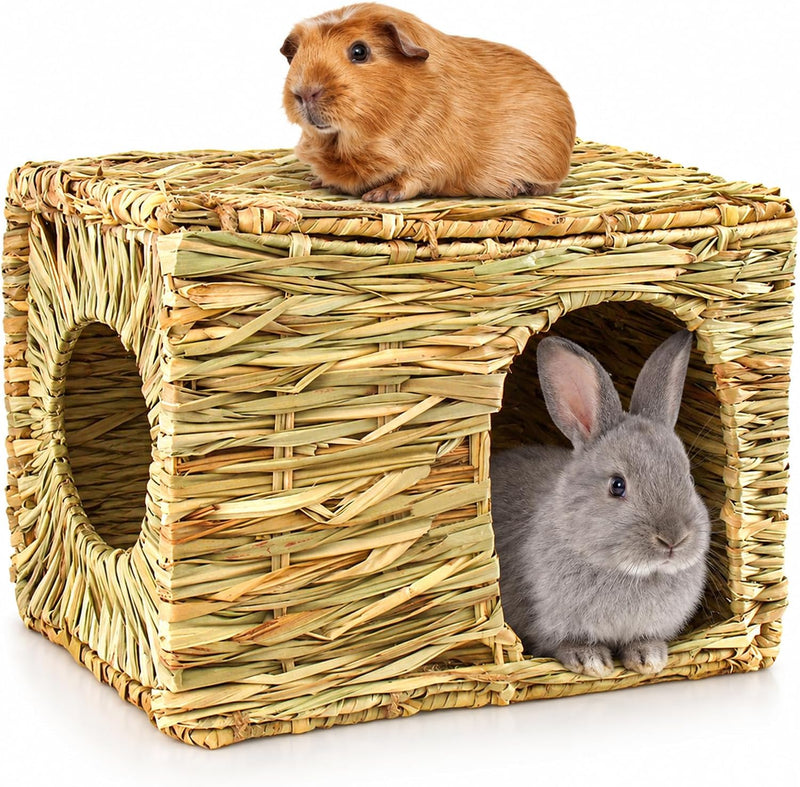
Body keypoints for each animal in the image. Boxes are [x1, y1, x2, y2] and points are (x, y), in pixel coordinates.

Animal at [280, 3, 576, 202]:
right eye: (299, 54)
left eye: (359, 51)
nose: (305, 92)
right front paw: (316, 181)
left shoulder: (433, 164)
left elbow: (410, 180)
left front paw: (378, 195)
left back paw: (518, 188)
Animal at [490, 330, 711, 677]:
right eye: (617, 486)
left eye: (687, 477)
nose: (673, 540)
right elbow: (565, 644)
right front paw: (592, 663)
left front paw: (648, 659)